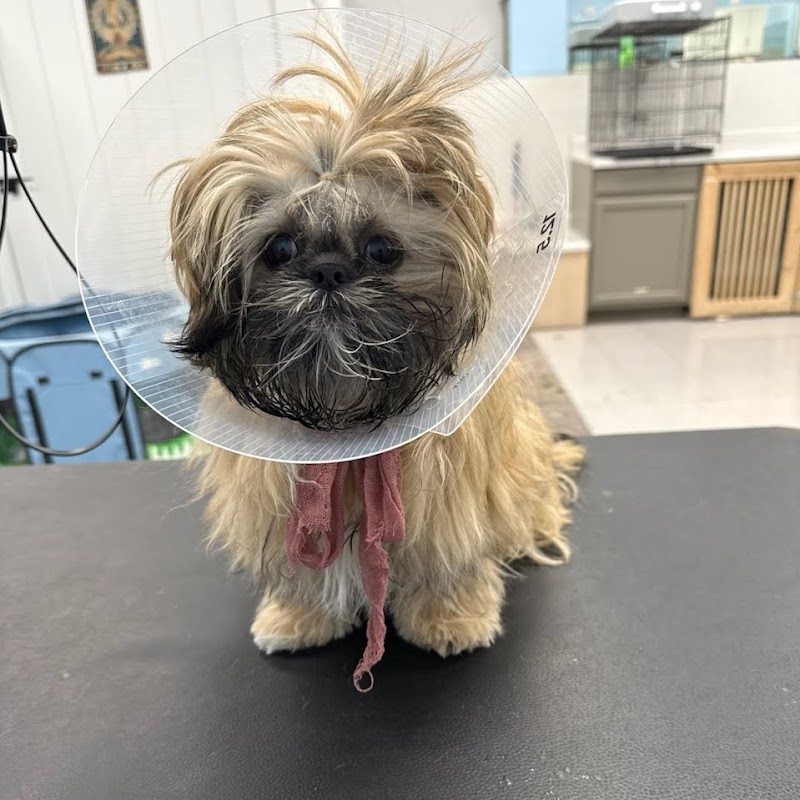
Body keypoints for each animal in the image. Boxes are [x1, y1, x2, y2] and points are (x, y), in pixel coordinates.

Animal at [167, 32, 583, 673]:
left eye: (383, 249)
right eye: (280, 248)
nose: (328, 270)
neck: (347, 412)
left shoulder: (453, 504)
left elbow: (453, 559)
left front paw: (451, 616)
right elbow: (302, 566)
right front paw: (298, 615)